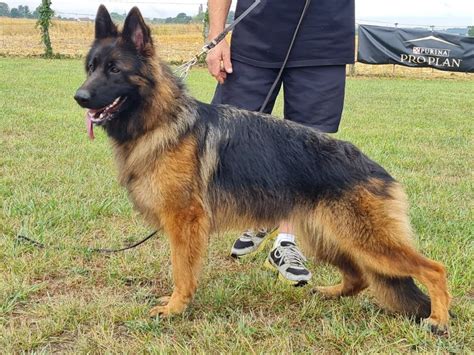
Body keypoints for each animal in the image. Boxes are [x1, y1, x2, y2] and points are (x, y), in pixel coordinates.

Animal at [74, 4, 452, 334]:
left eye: (115, 70)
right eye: (91, 67)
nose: (79, 97)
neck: (161, 119)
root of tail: (379, 171)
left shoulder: (185, 223)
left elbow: (181, 272)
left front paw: (175, 308)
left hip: (367, 242)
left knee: (435, 269)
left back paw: (438, 320)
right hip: (331, 240)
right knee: (360, 277)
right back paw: (330, 293)